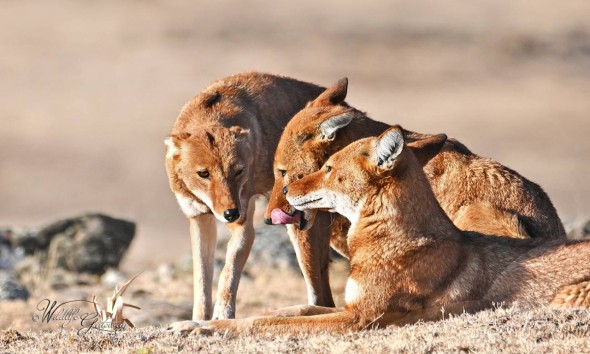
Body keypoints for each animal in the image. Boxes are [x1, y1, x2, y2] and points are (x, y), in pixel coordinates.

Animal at [165, 72, 324, 320]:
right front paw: (199, 320)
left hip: (299, 232)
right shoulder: (199, 219)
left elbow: (228, 272)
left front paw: (222, 315)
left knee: (320, 296)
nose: (231, 213)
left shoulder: (244, 226)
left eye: (238, 171)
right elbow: (201, 280)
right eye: (204, 173)